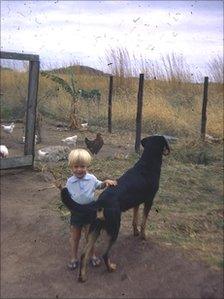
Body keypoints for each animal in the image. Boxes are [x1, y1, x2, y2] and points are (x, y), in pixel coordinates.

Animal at [61, 136, 170, 284]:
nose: (168, 151)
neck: (147, 163)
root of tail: (100, 201)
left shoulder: (137, 202)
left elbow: (135, 219)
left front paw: (135, 232)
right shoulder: (149, 200)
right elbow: (143, 222)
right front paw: (143, 236)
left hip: (95, 229)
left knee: (84, 254)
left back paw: (82, 277)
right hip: (114, 228)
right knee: (105, 254)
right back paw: (111, 268)